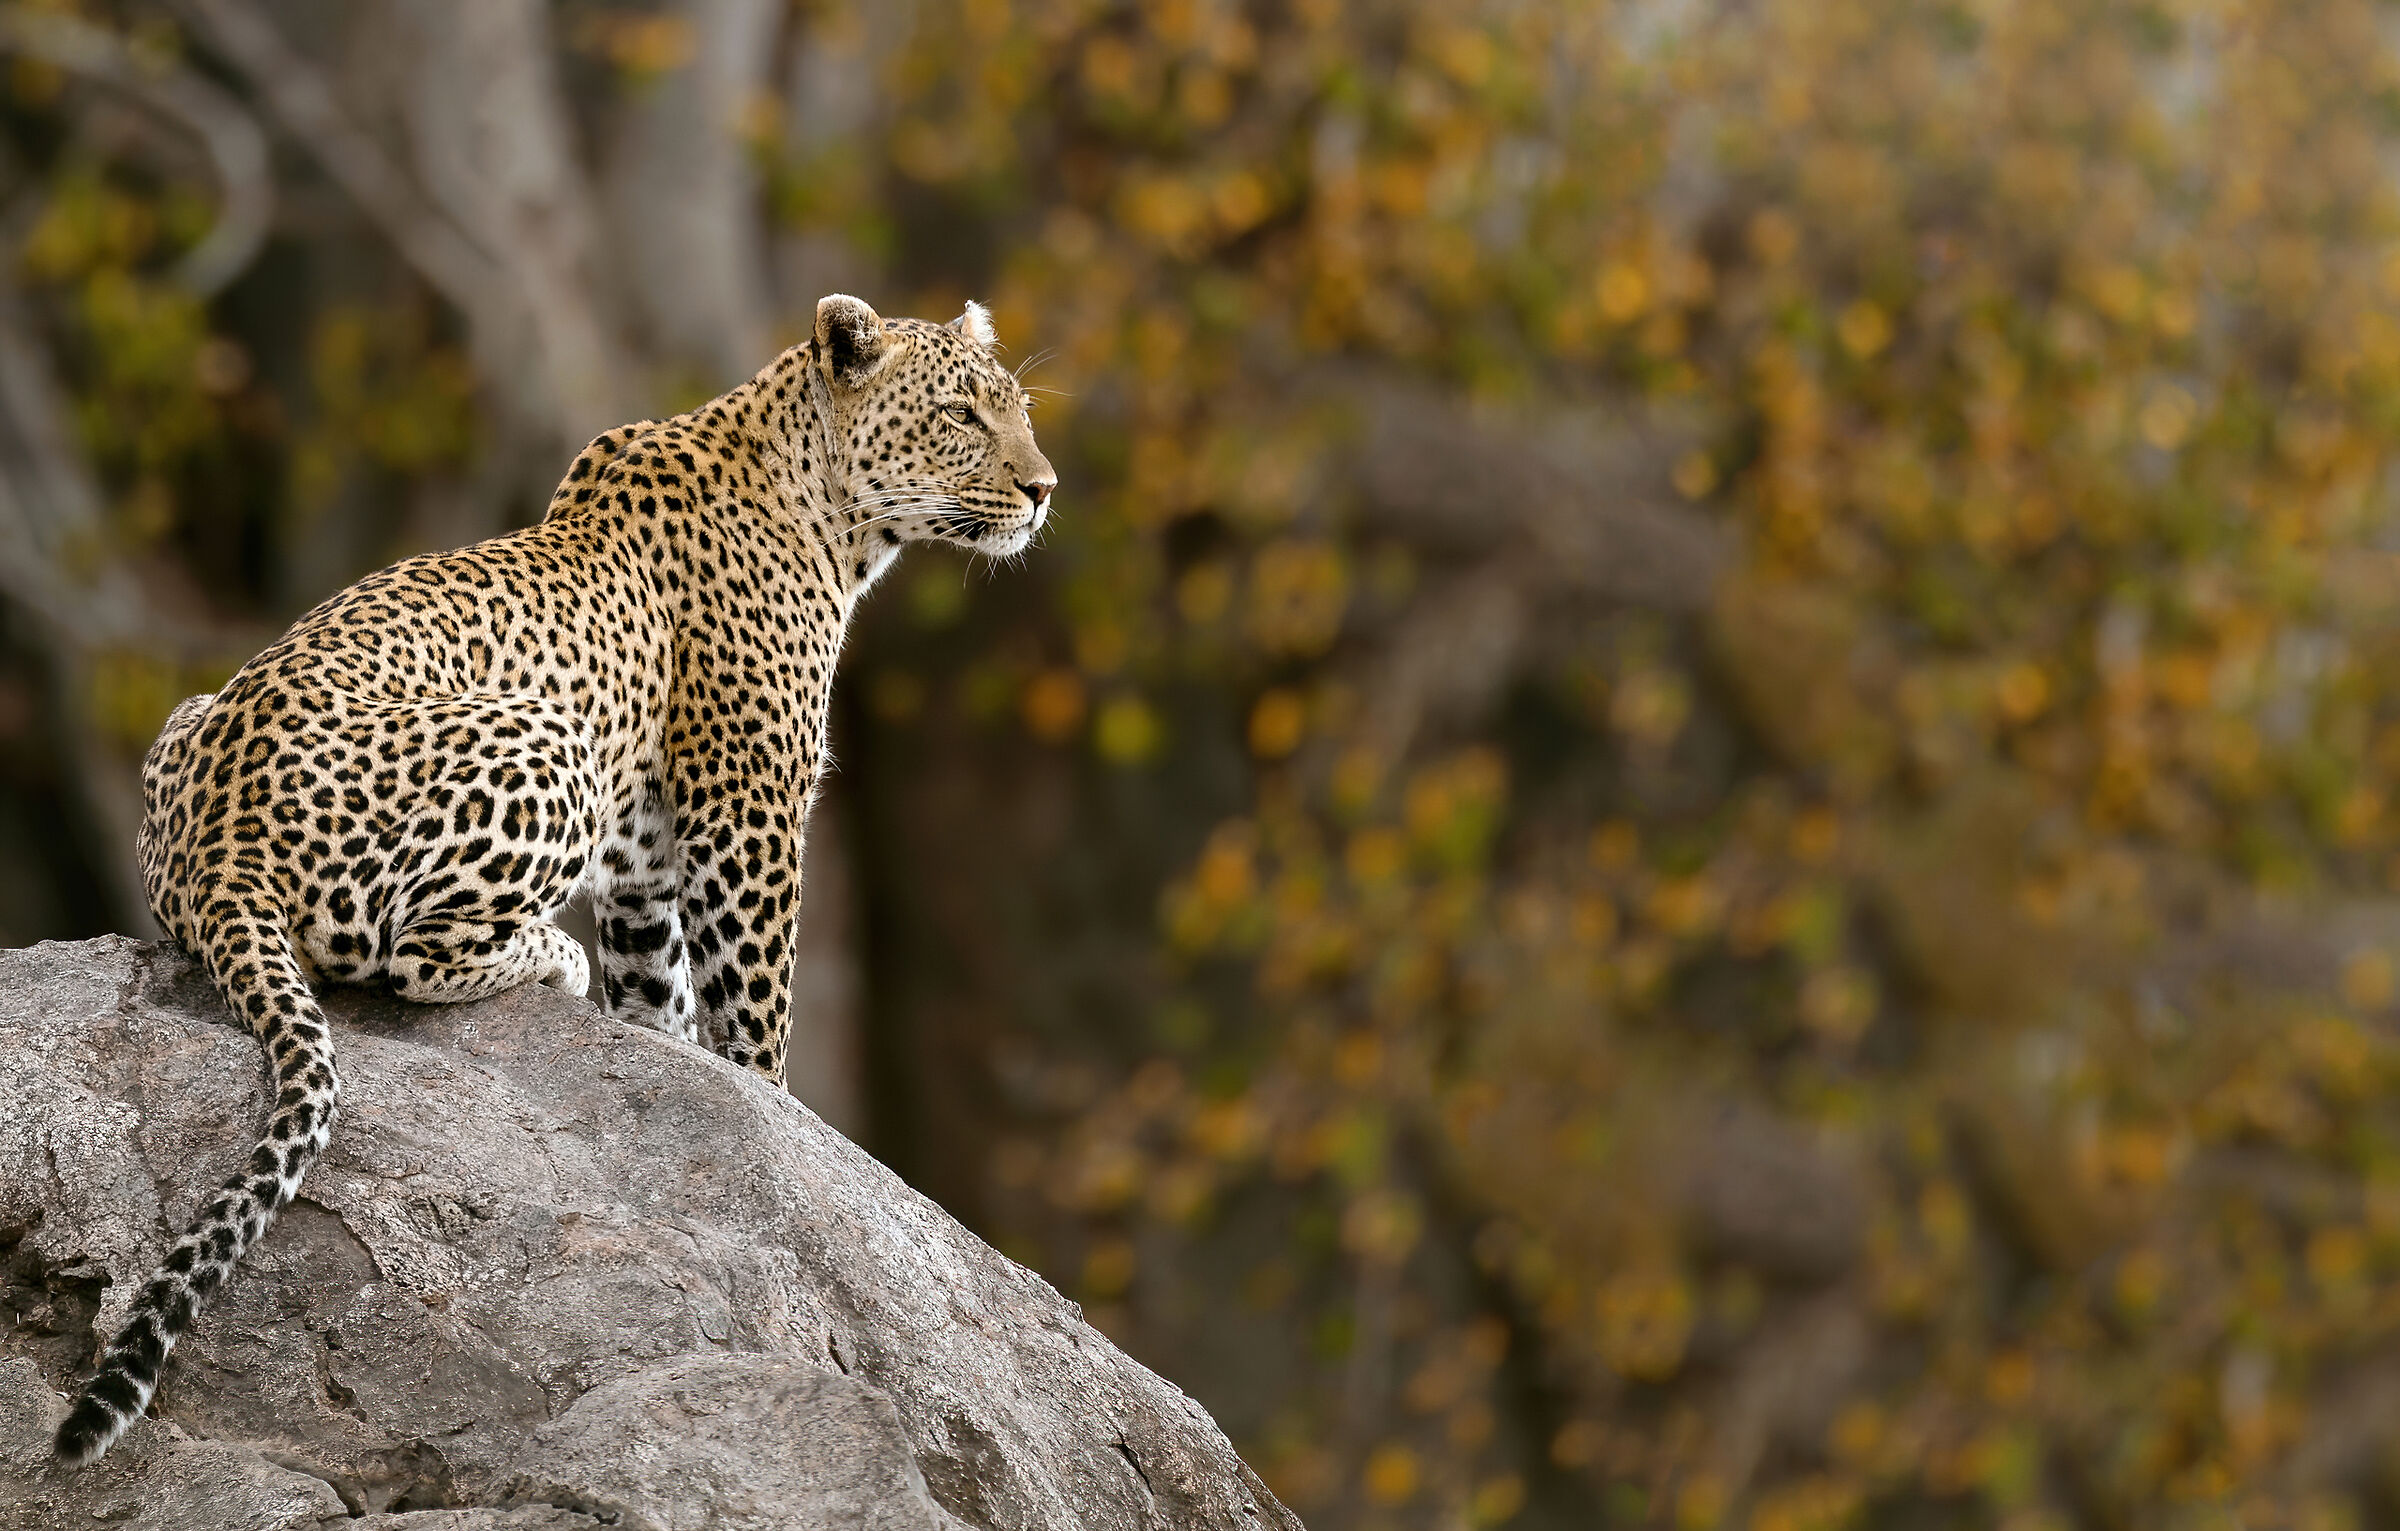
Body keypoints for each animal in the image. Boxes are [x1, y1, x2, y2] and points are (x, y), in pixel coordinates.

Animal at [54, 293, 1055, 1464]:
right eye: (961, 415)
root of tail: (221, 853)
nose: (1044, 488)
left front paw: (668, 1059)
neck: (833, 516)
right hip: (546, 735)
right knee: (407, 958)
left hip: (189, 717)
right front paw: (777, 1117)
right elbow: (756, 1008)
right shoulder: (749, 812)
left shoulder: (645, 858)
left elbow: (665, 990)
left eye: (1018, 409)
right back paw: (549, 959)